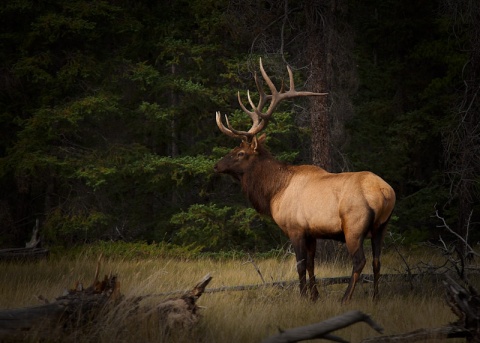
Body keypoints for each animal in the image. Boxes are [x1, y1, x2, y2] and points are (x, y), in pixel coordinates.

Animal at [216, 59, 396, 304]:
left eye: (240, 153)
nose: (216, 166)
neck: (274, 191)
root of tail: (385, 193)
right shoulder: (312, 232)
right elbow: (311, 265)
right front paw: (314, 296)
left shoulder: (296, 228)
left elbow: (300, 266)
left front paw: (302, 297)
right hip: (381, 227)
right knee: (378, 261)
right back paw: (376, 297)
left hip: (354, 226)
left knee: (360, 261)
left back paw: (345, 297)